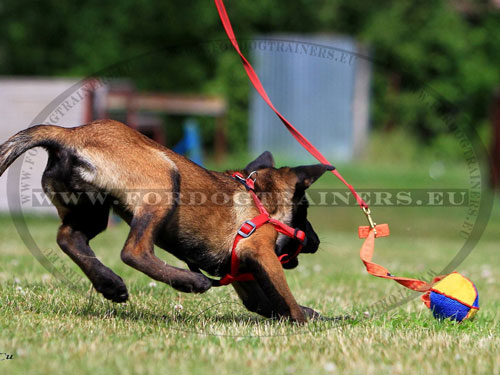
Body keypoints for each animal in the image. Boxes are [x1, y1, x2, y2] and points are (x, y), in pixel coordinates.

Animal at [0, 121, 332, 324]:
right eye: (304, 209)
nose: (316, 241)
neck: (260, 200)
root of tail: (70, 133)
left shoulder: (245, 276)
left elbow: (269, 303)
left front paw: (318, 316)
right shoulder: (259, 251)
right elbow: (287, 300)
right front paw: (308, 323)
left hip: (91, 209)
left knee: (69, 238)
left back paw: (109, 283)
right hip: (164, 178)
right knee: (133, 251)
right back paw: (190, 282)